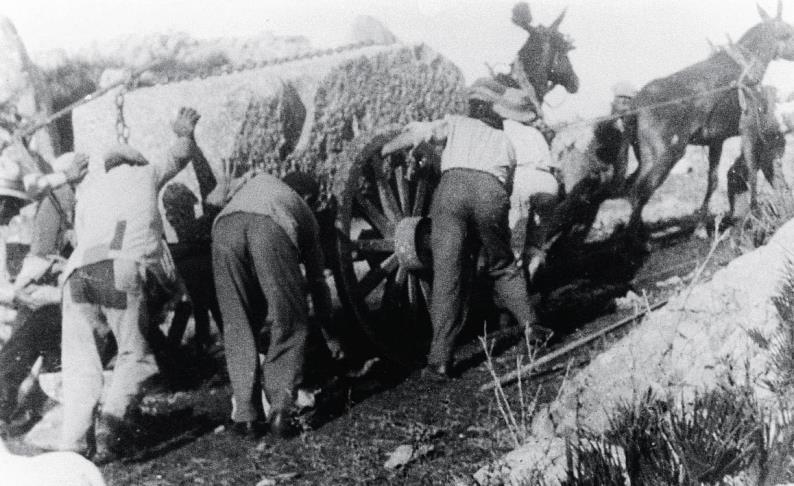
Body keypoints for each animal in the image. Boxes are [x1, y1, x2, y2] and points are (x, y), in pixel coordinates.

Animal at [616, 1, 792, 237]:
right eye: (788, 31)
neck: (744, 66)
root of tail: (636, 104)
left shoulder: (716, 141)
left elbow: (713, 181)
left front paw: (700, 227)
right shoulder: (749, 130)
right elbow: (753, 171)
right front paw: (754, 217)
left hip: (644, 156)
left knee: (631, 188)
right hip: (666, 156)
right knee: (639, 191)